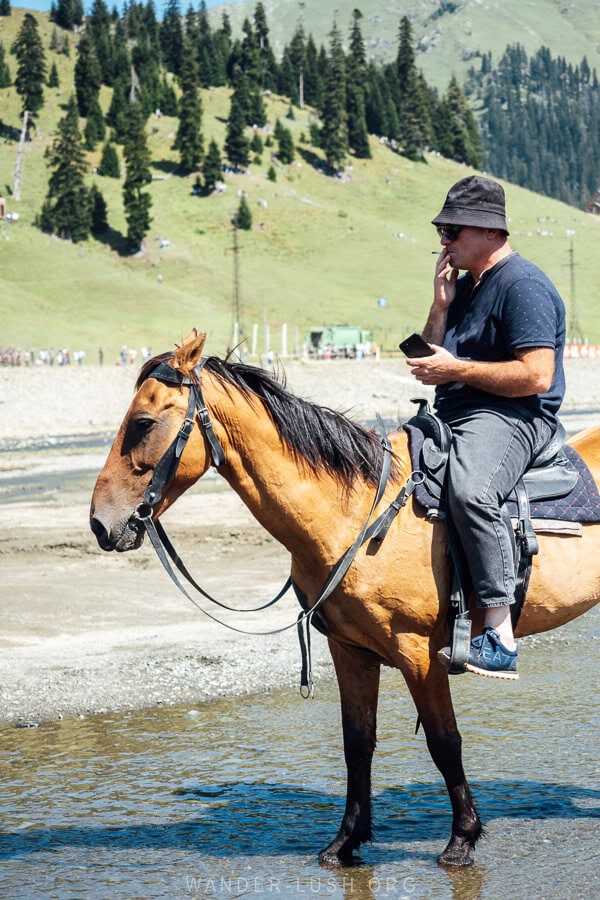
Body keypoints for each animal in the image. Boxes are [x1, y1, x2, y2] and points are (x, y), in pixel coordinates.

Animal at [89, 328, 600, 864]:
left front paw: (462, 838)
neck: (355, 515)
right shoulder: (350, 649)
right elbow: (358, 742)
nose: (100, 522)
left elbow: (444, 741)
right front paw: (346, 840)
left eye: (143, 422)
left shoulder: (419, 653)